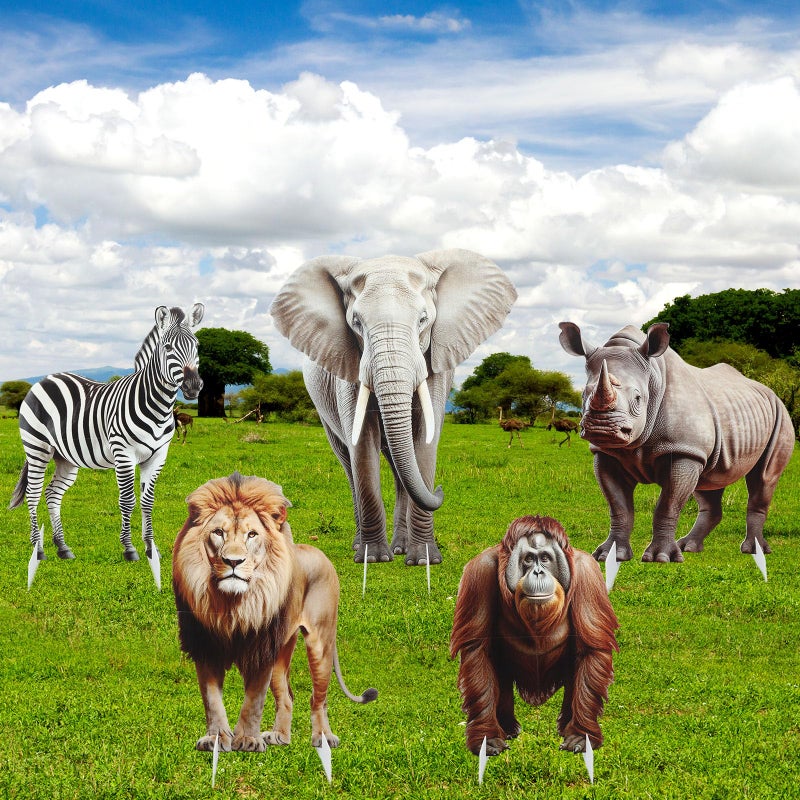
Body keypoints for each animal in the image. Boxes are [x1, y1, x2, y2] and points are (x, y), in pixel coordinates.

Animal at [9, 303, 205, 563]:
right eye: (168, 347)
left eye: (197, 345)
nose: (193, 387)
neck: (157, 406)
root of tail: (46, 378)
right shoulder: (124, 454)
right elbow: (127, 500)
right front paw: (129, 549)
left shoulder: (158, 456)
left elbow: (148, 501)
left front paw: (151, 549)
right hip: (37, 448)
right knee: (33, 493)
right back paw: (38, 550)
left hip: (65, 457)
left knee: (52, 494)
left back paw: (62, 548)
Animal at [173, 472, 378, 753]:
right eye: (218, 533)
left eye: (252, 534)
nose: (233, 562)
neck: (232, 604)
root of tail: (320, 553)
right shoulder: (205, 646)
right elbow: (212, 699)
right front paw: (215, 739)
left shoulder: (261, 649)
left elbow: (253, 701)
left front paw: (247, 740)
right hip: (282, 649)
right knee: (288, 696)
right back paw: (279, 736)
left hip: (320, 643)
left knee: (319, 698)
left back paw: (323, 737)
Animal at [270, 249, 517, 565]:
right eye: (356, 323)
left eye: (423, 320)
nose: (440, 490)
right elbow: (362, 444)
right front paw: (373, 558)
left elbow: (424, 440)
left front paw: (423, 560)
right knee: (348, 462)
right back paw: (362, 545)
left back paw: (400, 547)